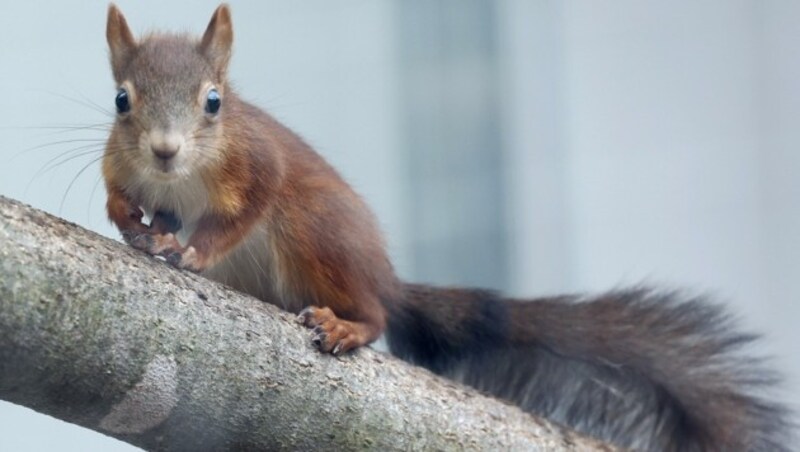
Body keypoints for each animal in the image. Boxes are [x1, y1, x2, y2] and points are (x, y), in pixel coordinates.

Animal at [103, 4, 792, 452]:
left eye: (213, 102)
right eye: (121, 99)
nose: (165, 151)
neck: (179, 179)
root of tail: (383, 276)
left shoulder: (258, 166)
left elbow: (242, 212)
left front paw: (192, 250)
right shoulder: (126, 165)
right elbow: (123, 195)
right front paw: (133, 223)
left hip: (316, 232)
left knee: (377, 312)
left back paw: (349, 324)